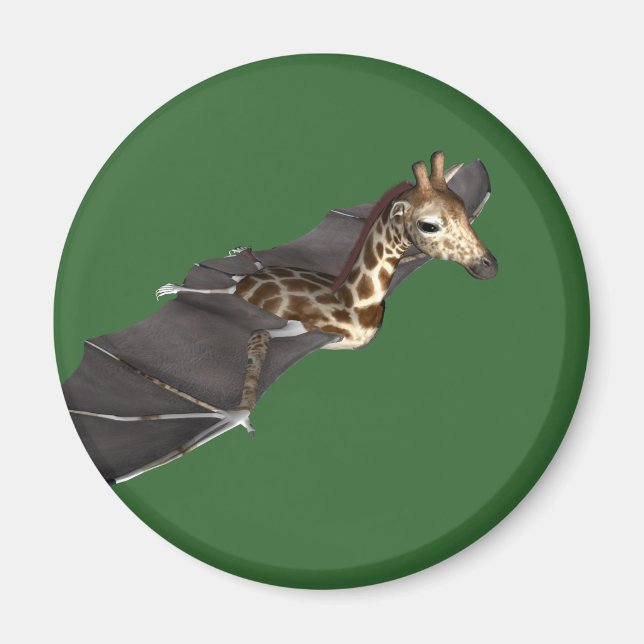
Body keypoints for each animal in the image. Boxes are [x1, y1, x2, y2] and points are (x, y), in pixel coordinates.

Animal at [155, 151, 497, 439]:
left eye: (464, 208)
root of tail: (245, 282)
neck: (355, 304)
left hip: (246, 278)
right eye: (428, 225)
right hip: (236, 295)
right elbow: (256, 342)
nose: (489, 266)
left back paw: (239, 255)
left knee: (235, 276)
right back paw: (176, 287)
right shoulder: (295, 329)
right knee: (220, 289)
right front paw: (234, 416)